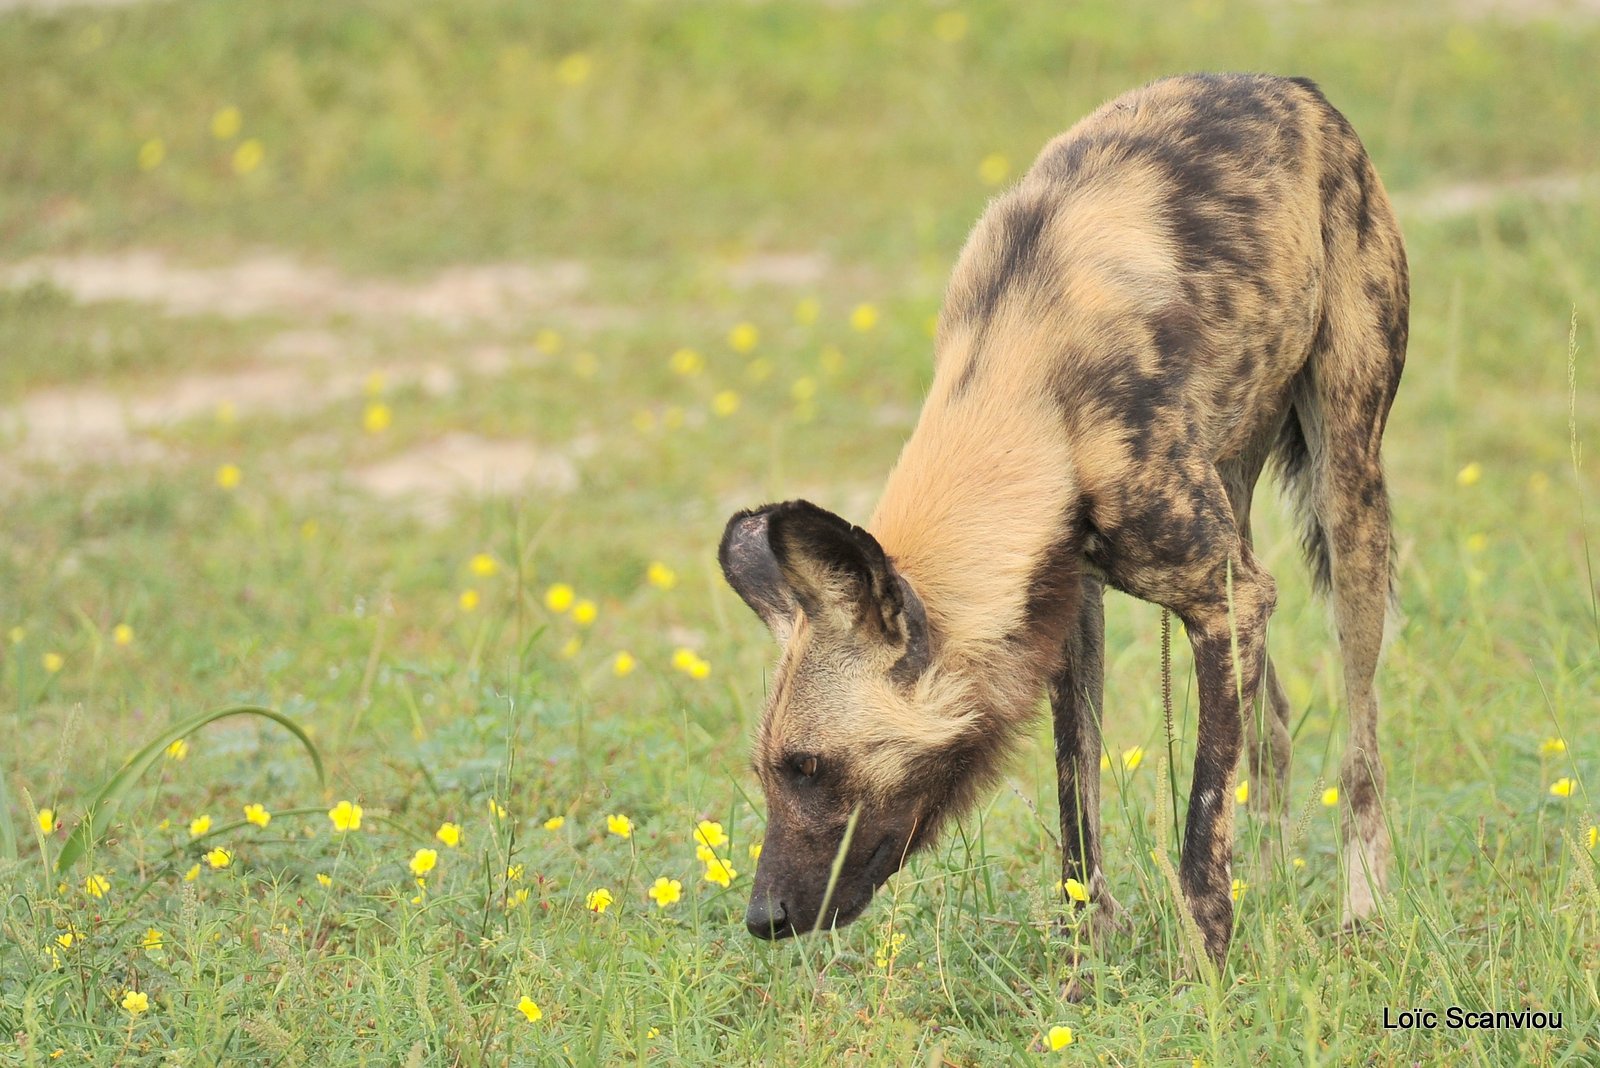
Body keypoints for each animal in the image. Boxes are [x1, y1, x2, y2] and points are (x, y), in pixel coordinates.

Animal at [720, 70, 1408, 965]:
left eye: (809, 767)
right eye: (772, 772)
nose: (761, 917)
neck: (1029, 383)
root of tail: (1295, 87)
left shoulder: (1219, 606)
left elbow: (1200, 826)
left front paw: (1205, 970)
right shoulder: (1074, 604)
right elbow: (1078, 808)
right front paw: (1088, 958)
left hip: (1346, 498)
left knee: (1360, 743)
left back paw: (1363, 906)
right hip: (1238, 514)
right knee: (1276, 727)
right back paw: (1268, 878)